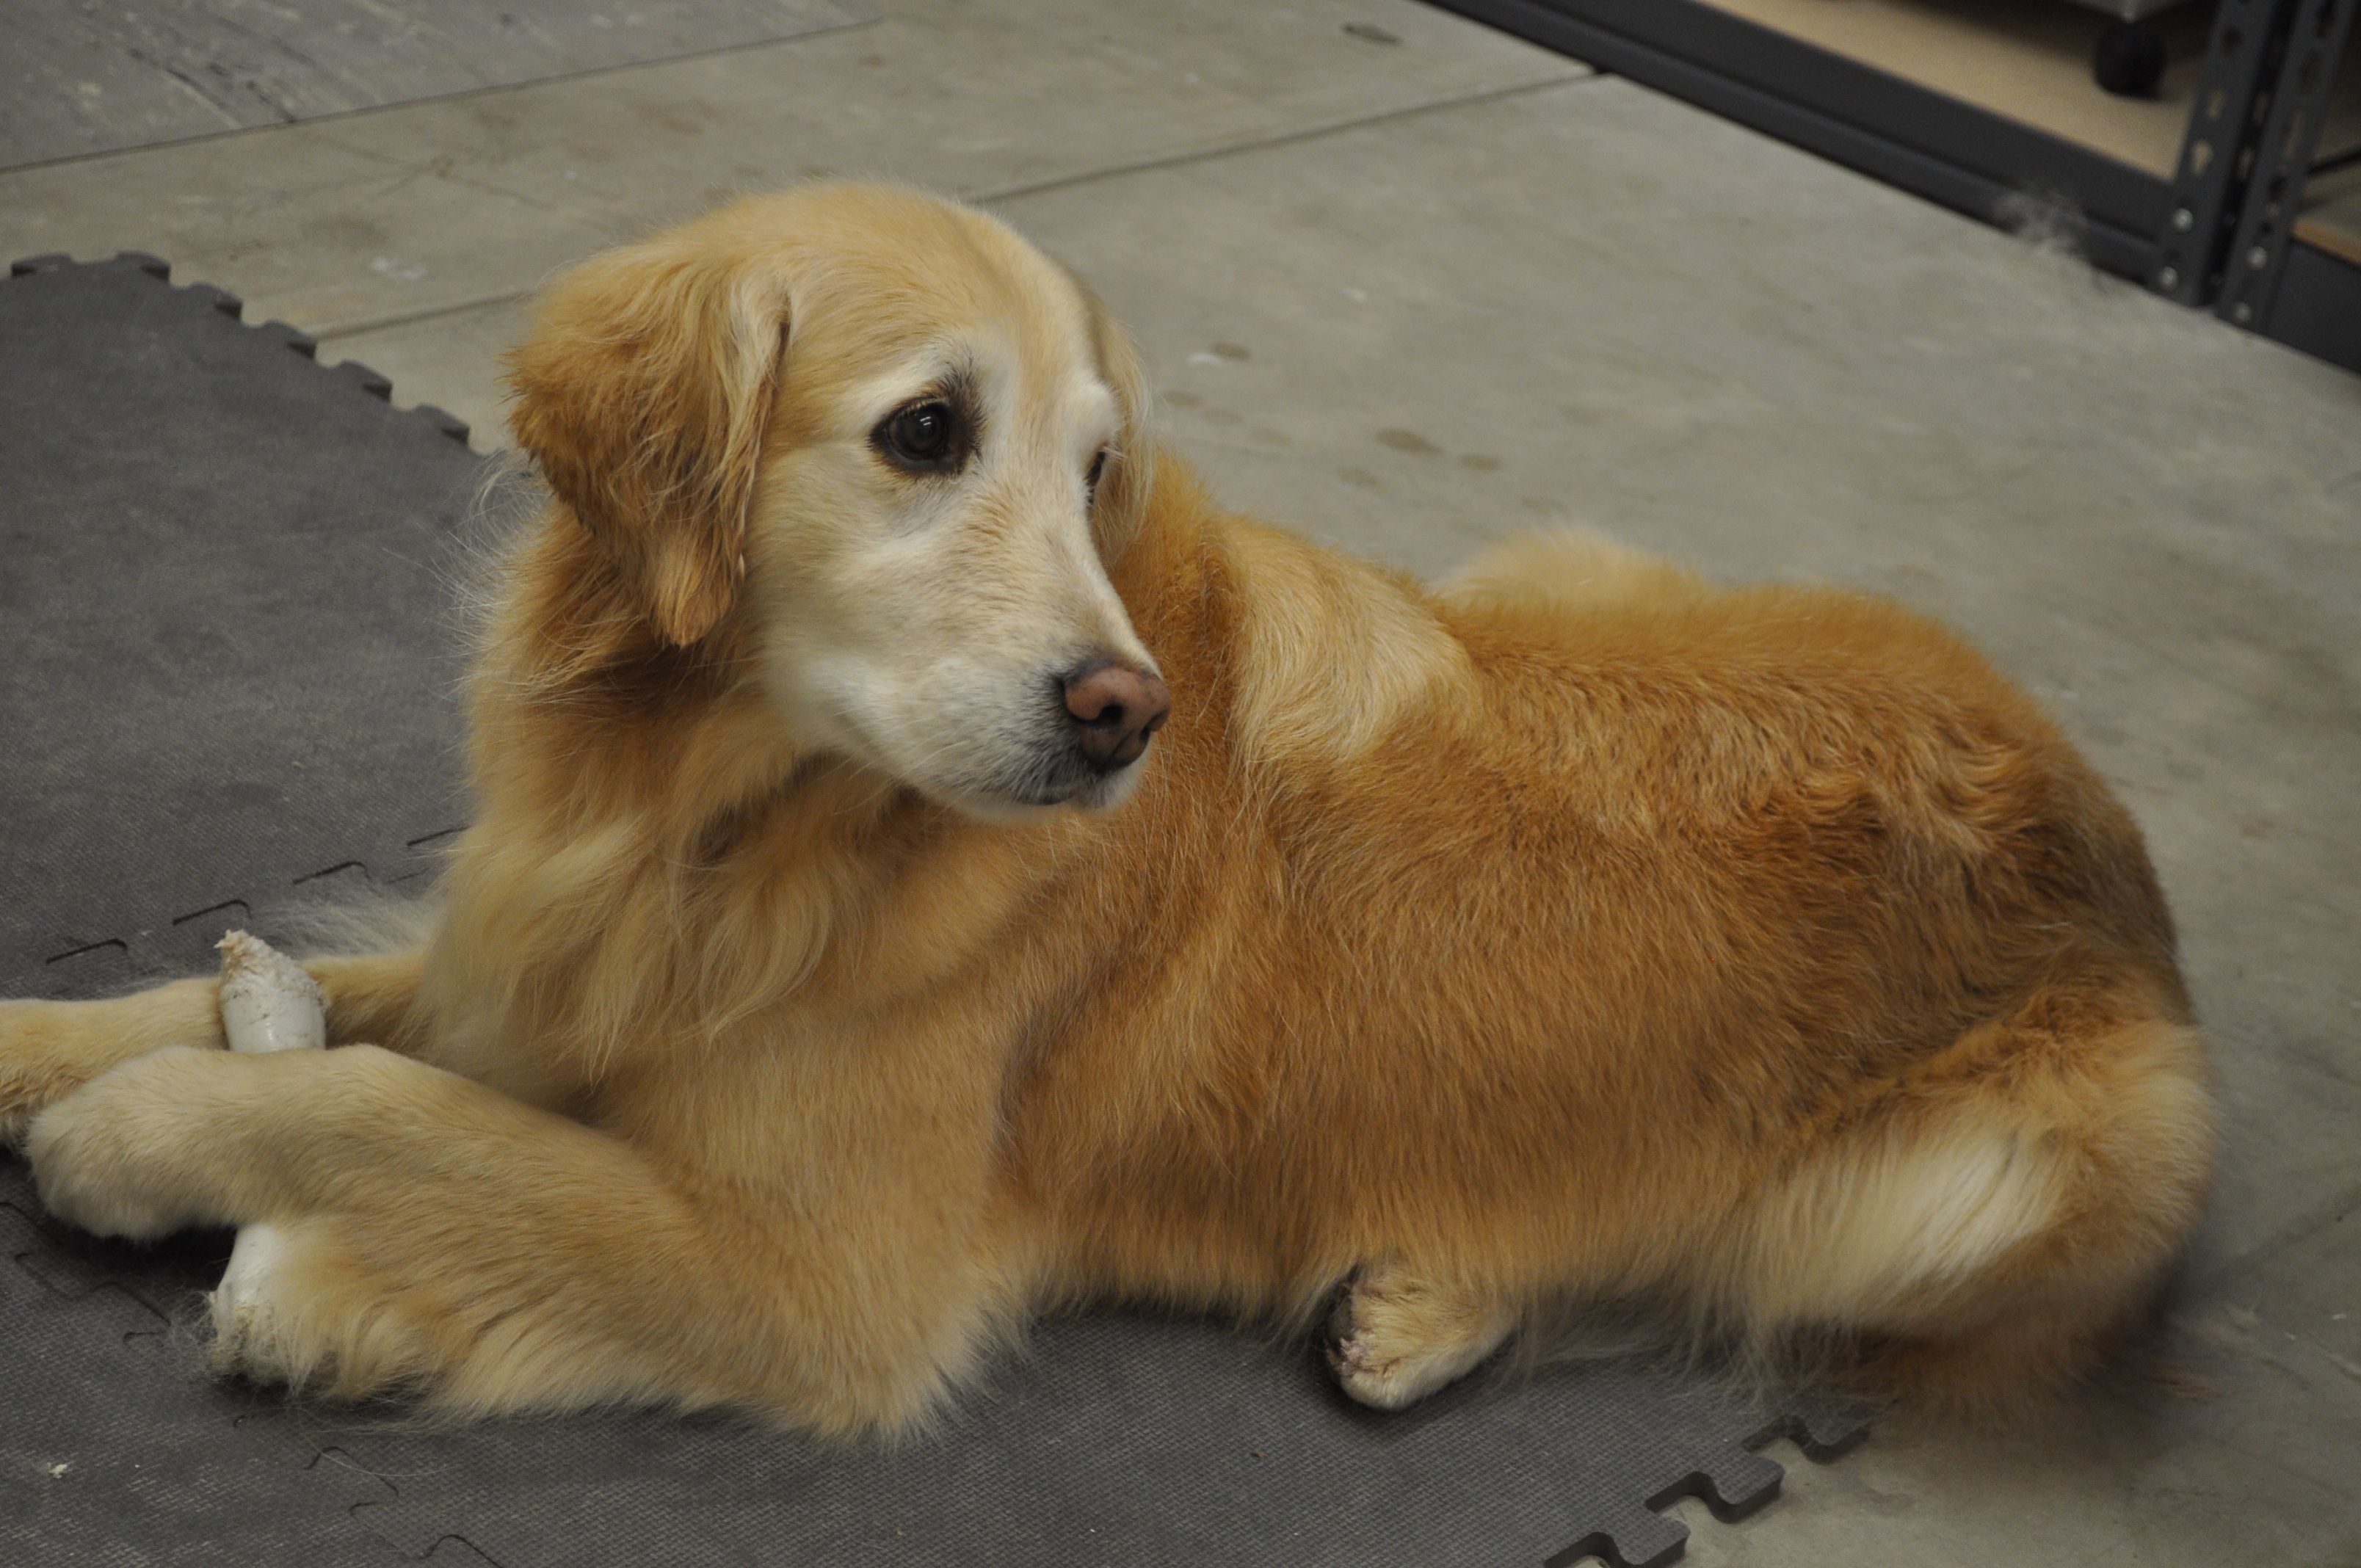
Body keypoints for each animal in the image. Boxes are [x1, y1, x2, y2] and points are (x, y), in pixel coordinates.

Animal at [0, 184, 2214, 1433]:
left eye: (1094, 475)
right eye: (924, 432)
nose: (1120, 712)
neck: (734, 812)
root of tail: (2114, 830)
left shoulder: (822, 1274)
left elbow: (403, 1119)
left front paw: (182, 1171)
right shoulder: (531, 963)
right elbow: (305, 1013)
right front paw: (68, 1049)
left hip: (2016, 1185)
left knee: (1694, 1268)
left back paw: (1443, 1289)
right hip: (1545, 564)